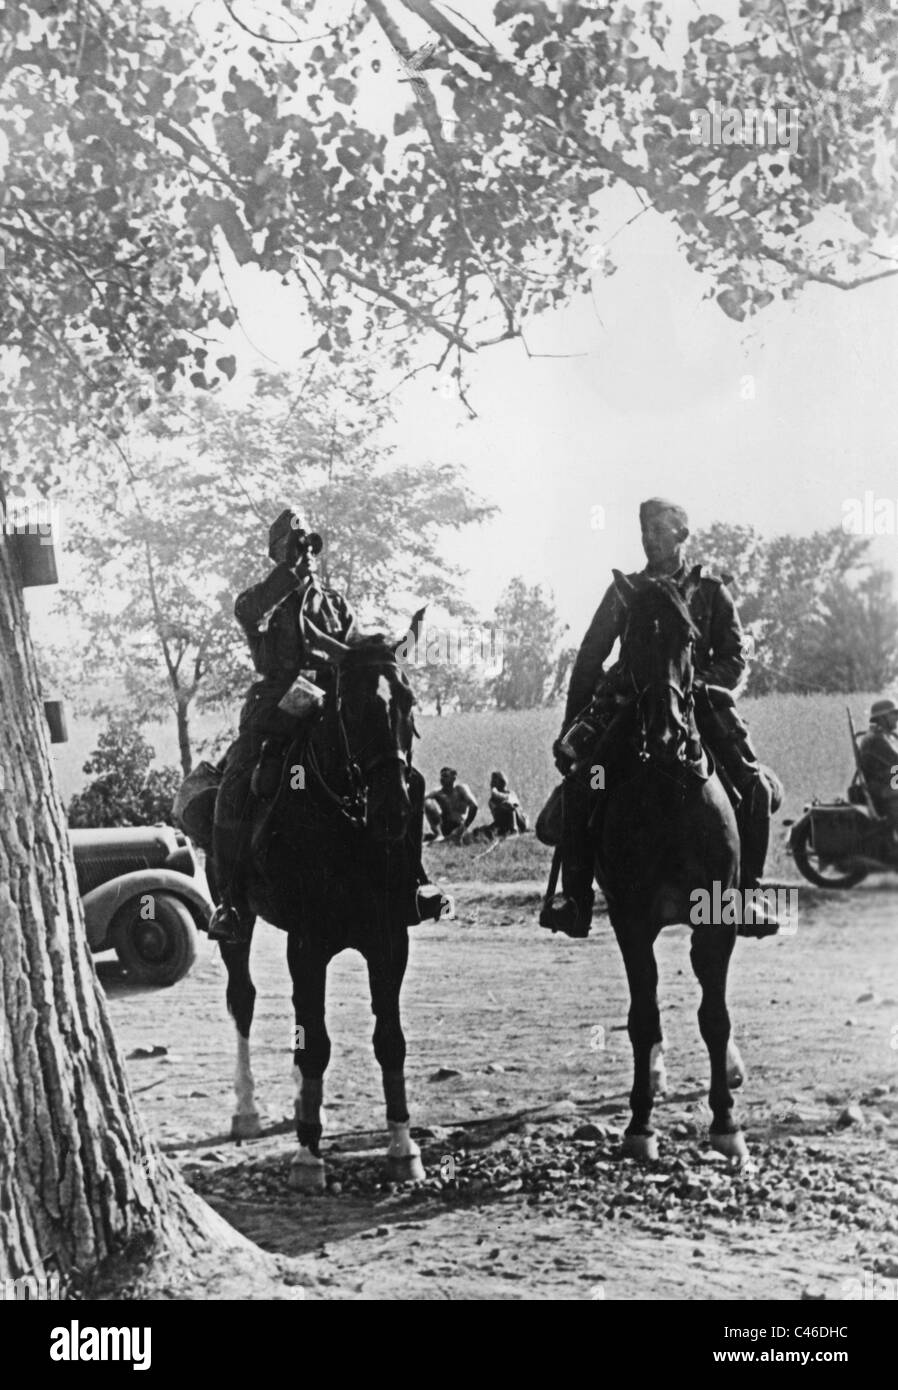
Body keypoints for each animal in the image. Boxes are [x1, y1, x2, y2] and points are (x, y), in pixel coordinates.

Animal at [218, 625, 428, 1189]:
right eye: (349, 706)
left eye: (407, 701)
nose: (394, 809)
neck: (348, 822)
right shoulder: (307, 944)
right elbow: (314, 1043)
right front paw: (308, 1158)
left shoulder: (389, 941)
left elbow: (390, 1040)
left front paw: (402, 1146)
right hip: (237, 923)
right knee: (243, 998)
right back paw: (248, 1110)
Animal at [597, 564, 750, 1162]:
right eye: (633, 638)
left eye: (688, 639)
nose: (665, 736)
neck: (666, 790)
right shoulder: (630, 918)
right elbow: (644, 1017)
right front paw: (640, 1124)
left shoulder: (718, 917)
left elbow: (715, 1014)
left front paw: (726, 1122)